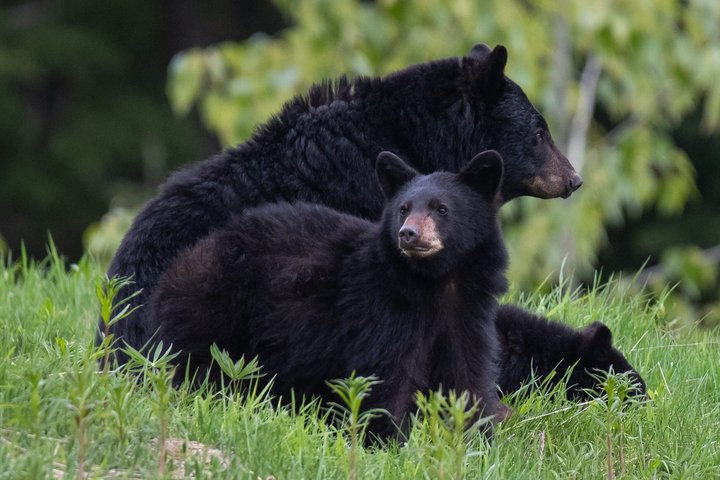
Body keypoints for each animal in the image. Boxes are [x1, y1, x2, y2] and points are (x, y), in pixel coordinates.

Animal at [148, 150, 509, 439]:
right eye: (403, 209)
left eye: (441, 209)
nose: (408, 234)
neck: (434, 283)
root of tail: (187, 257)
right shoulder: (382, 307)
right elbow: (385, 375)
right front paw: (390, 442)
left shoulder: (468, 311)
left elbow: (467, 376)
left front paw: (478, 440)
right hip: (213, 310)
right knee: (197, 364)